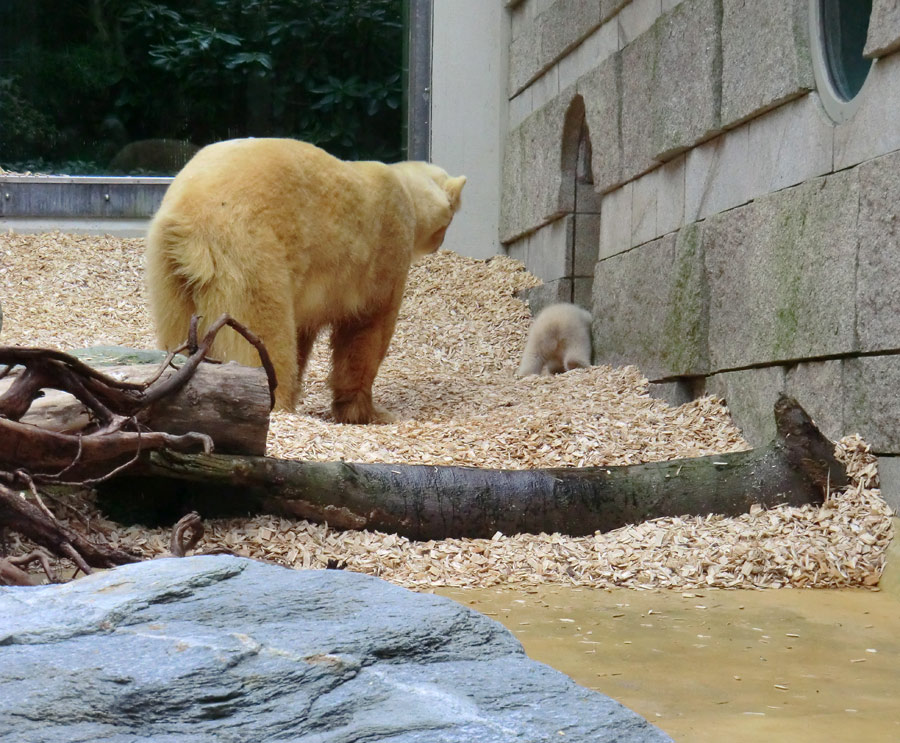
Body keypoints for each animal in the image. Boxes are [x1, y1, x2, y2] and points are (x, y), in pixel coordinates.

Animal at [144, 136, 468, 422]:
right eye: (448, 222)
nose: (440, 242)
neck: (406, 191)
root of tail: (187, 218)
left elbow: (302, 332)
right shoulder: (385, 248)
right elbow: (366, 331)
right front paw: (367, 411)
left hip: (169, 268)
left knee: (177, 325)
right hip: (249, 251)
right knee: (263, 331)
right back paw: (271, 400)